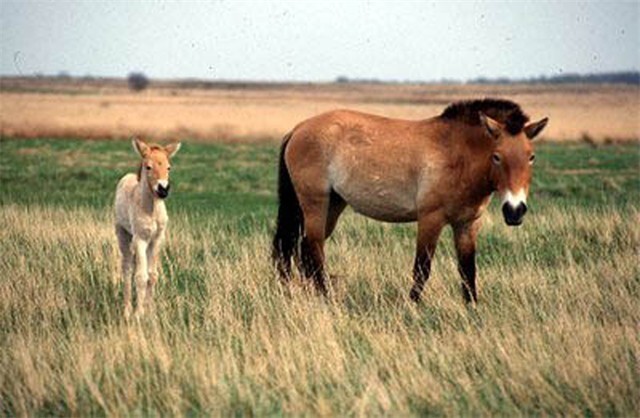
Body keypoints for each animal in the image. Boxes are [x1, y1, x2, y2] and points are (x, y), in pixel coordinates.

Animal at [114, 138, 180, 320]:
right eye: (148, 167)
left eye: (168, 167)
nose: (163, 189)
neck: (151, 210)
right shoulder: (140, 240)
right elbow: (141, 277)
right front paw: (138, 314)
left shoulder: (157, 240)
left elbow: (153, 275)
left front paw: (150, 312)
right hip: (123, 234)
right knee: (127, 268)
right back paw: (127, 310)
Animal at [272, 99, 548, 306]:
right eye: (497, 157)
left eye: (531, 156)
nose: (515, 211)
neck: (457, 154)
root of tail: (298, 129)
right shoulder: (430, 219)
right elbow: (422, 268)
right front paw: (412, 305)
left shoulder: (467, 225)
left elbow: (468, 269)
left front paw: (472, 307)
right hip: (315, 205)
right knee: (313, 249)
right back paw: (326, 298)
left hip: (333, 205)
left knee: (304, 250)